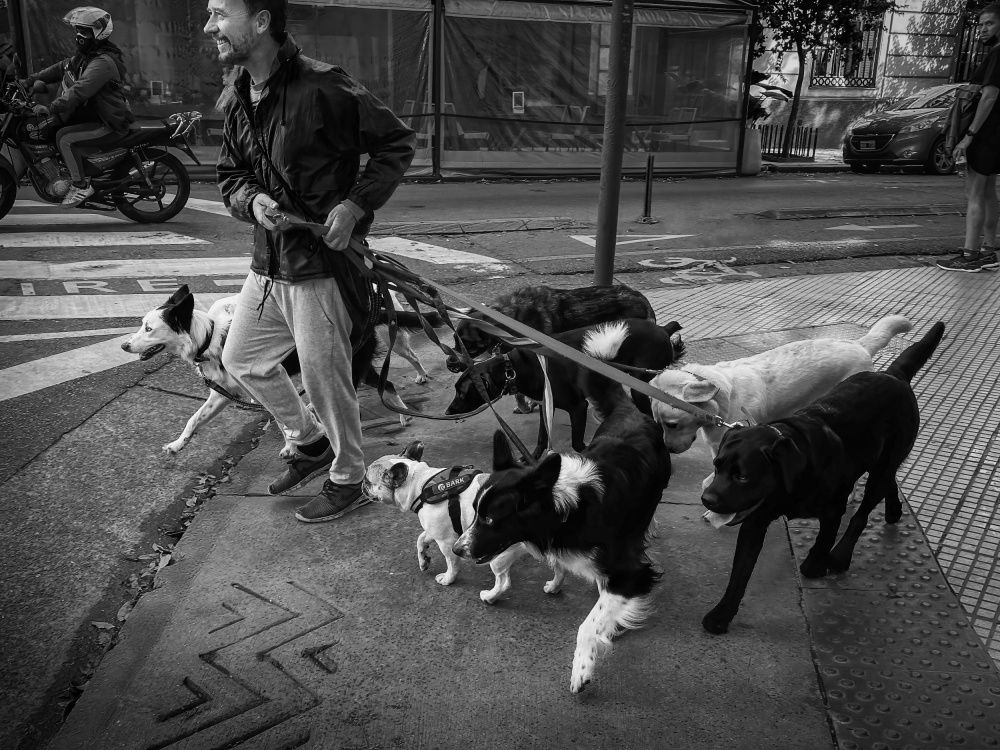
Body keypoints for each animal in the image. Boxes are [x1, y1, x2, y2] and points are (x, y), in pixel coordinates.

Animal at [450, 318, 684, 458]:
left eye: (461, 393)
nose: (448, 412)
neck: (516, 368)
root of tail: (663, 329)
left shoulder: (578, 408)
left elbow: (578, 443)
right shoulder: (546, 405)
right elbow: (542, 438)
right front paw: (531, 459)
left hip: (641, 386)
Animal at [454, 362, 672, 696]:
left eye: (490, 519)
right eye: (476, 512)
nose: (456, 549)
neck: (568, 509)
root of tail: (631, 410)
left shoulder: (631, 572)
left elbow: (589, 623)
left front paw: (582, 669)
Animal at [700, 324, 940, 636]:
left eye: (742, 476)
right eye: (716, 467)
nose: (707, 499)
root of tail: (892, 374)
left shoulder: (833, 508)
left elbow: (825, 537)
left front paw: (815, 564)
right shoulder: (755, 522)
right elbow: (739, 574)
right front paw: (722, 613)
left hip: (883, 465)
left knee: (863, 512)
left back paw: (841, 555)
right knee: (890, 481)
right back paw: (894, 510)